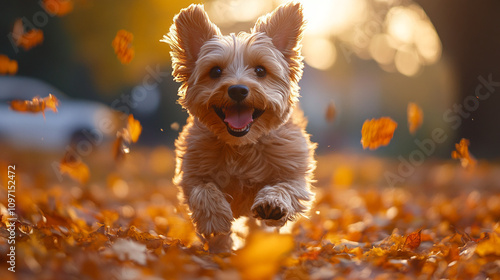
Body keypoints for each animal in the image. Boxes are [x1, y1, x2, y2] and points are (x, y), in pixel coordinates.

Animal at [164, 1, 316, 252]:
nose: (237, 89)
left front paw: (273, 203)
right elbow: (204, 191)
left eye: (261, 70)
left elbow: (284, 186)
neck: (242, 146)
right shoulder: (193, 174)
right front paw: (216, 225)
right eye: (215, 71)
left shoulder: (294, 173)